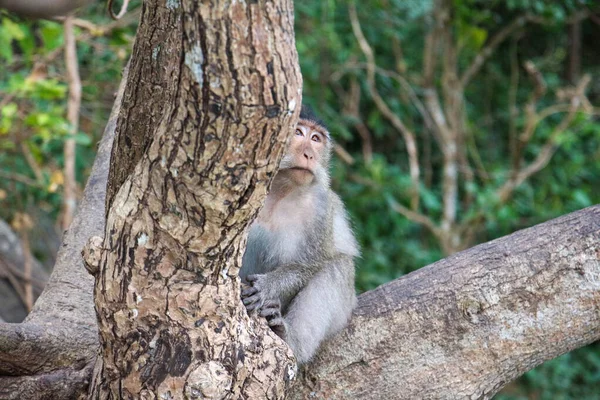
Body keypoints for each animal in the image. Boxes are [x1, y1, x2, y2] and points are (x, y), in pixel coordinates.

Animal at [239, 104, 358, 364]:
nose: (309, 155)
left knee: (337, 265)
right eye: (298, 133)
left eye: (316, 139)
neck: (279, 191)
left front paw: (267, 286)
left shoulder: (321, 207)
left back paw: (289, 337)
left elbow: (309, 265)